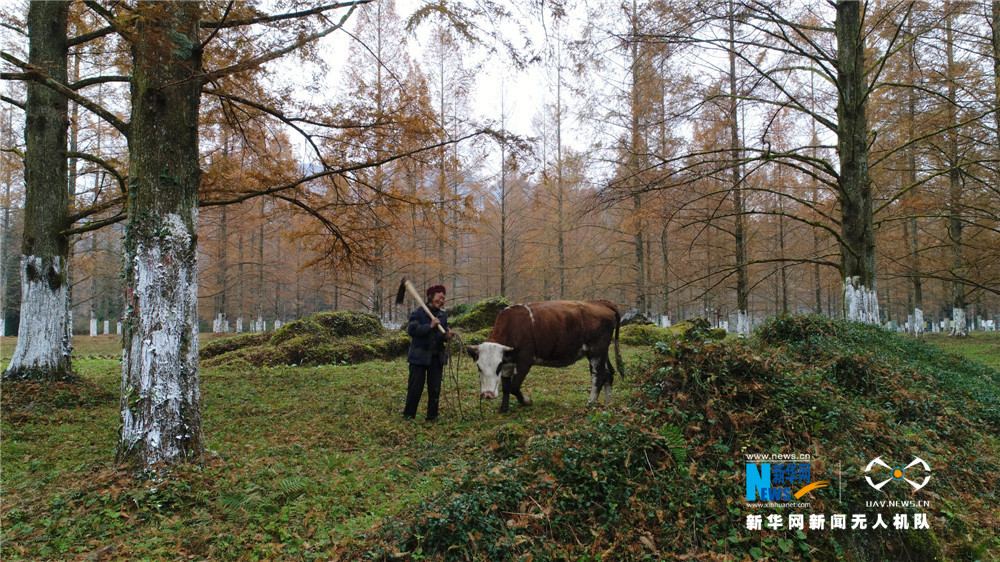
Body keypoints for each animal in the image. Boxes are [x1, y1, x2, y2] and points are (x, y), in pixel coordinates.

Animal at [464, 298, 620, 412]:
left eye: (498, 366)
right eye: (479, 367)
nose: (487, 394)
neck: (512, 327)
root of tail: (600, 302)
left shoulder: (525, 360)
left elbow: (514, 386)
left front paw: (527, 401)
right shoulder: (508, 363)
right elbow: (506, 387)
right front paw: (503, 409)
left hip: (596, 351)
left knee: (598, 376)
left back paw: (591, 402)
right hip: (603, 352)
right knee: (609, 373)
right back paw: (608, 403)